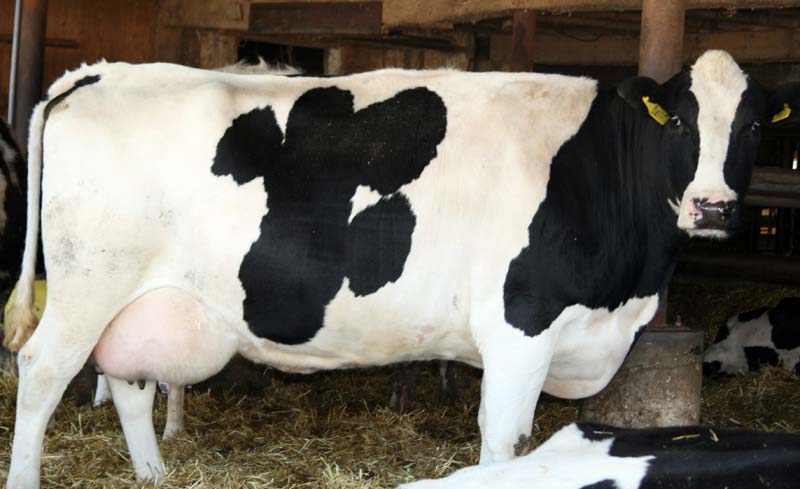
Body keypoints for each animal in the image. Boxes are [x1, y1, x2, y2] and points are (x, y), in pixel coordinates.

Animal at [4, 50, 795, 486]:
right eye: (680, 122)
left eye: (754, 126)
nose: (714, 206)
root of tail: (99, 72)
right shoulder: (519, 327)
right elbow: (504, 440)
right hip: (87, 285)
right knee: (43, 373)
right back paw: (28, 477)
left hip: (141, 299)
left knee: (128, 381)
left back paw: (154, 475)